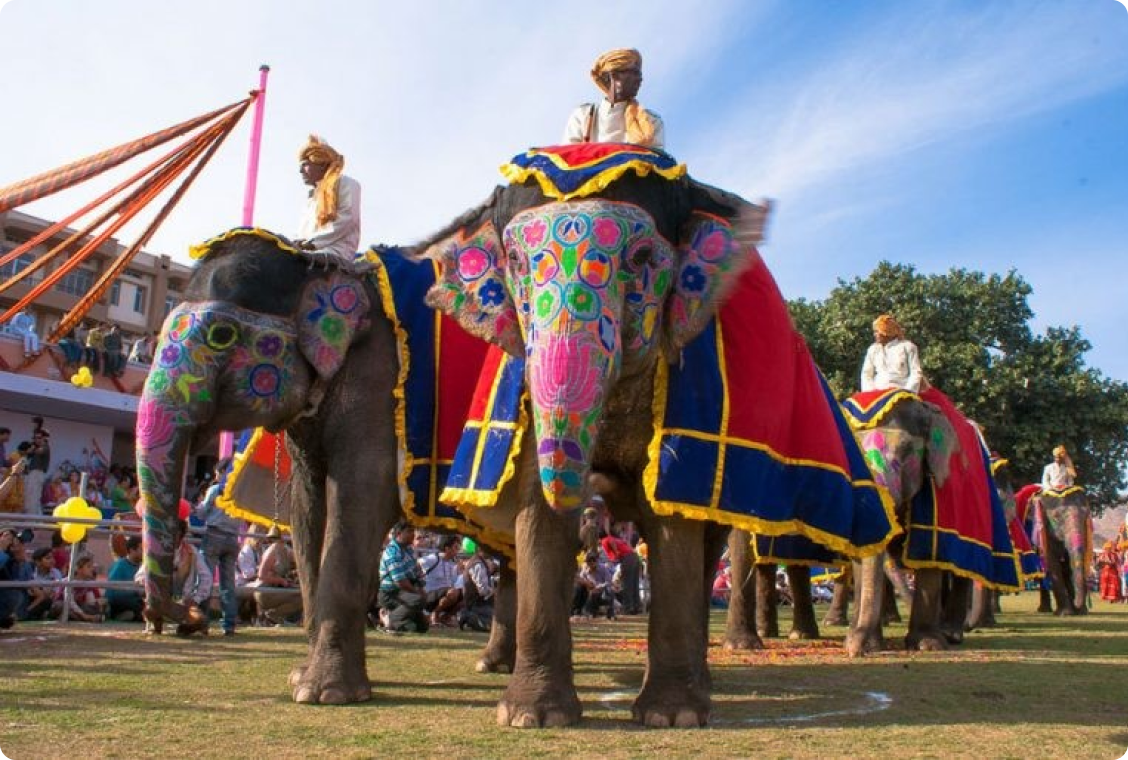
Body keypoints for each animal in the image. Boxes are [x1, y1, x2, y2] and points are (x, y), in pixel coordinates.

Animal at [134, 229, 518, 705]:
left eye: (222, 335)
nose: (189, 617)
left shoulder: (377, 387)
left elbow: (359, 499)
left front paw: (324, 693)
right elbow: (306, 510)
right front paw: (301, 679)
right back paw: (494, 665)